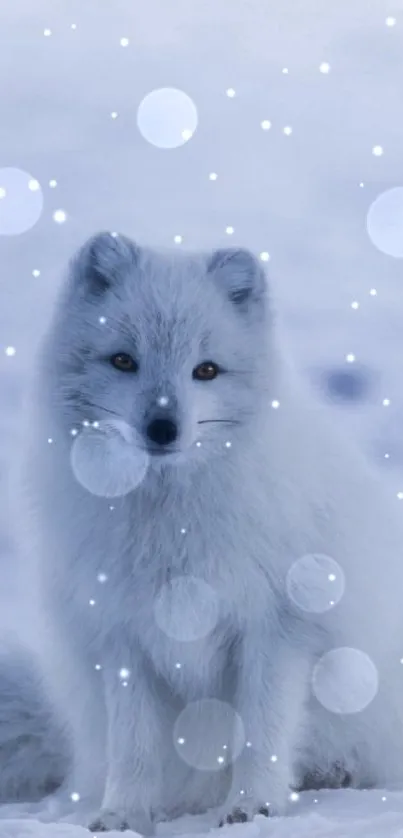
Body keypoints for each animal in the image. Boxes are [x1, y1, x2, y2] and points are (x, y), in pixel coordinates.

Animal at [6, 231, 403, 832]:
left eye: (207, 370)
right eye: (123, 360)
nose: (162, 428)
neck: (173, 523)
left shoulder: (277, 627)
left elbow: (263, 731)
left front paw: (254, 807)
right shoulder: (123, 635)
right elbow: (134, 745)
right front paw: (122, 815)